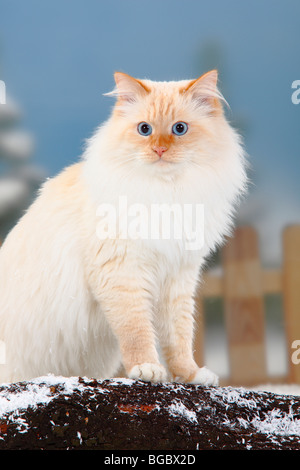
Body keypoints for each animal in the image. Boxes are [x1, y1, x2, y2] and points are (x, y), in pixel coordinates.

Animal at [0, 70, 246, 386]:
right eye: (144, 129)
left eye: (179, 129)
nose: (159, 149)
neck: (165, 194)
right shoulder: (122, 273)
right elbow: (137, 332)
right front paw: (147, 369)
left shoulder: (178, 278)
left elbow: (179, 338)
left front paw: (190, 375)